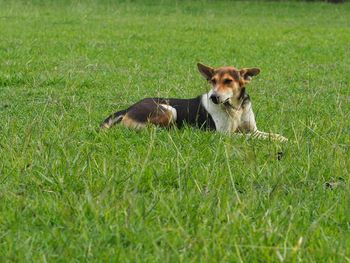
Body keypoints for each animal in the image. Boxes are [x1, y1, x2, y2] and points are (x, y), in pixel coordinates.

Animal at [100, 62, 288, 142]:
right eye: (213, 81)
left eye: (228, 81)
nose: (214, 97)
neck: (236, 108)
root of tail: (128, 108)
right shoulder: (224, 134)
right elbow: (248, 136)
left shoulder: (254, 129)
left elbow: (270, 134)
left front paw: (284, 139)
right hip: (170, 109)